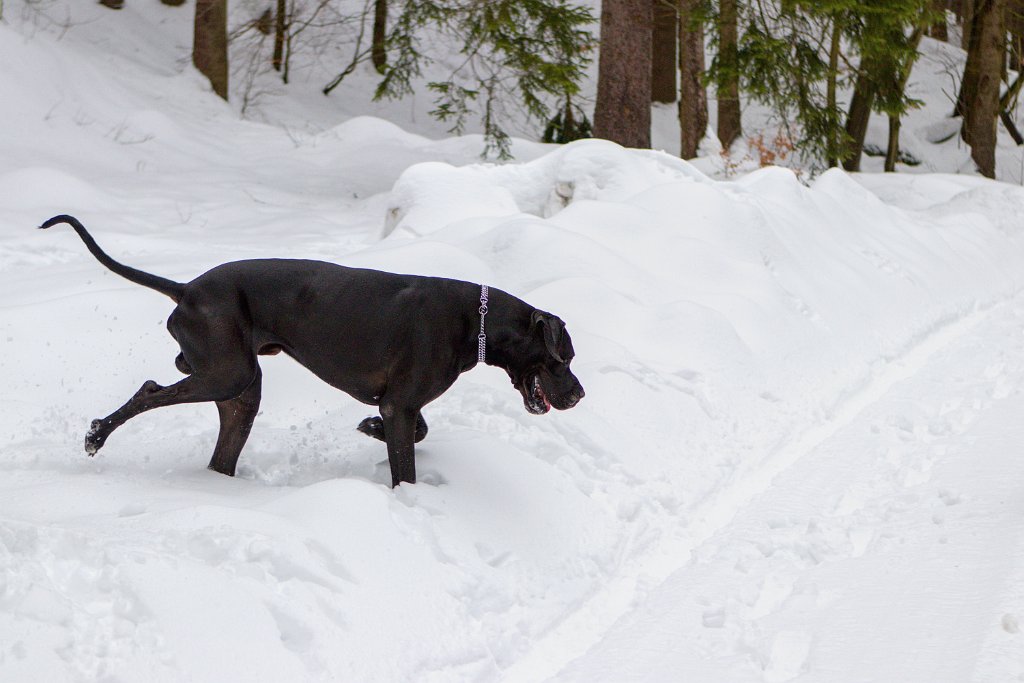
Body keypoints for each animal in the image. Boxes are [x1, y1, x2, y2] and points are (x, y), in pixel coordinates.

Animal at [41, 214, 585, 485]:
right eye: (563, 358)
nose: (579, 395)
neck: (476, 319)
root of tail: (187, 289)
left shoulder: (400, 405)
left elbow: (414, 429)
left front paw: (369, 428)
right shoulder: (400, 402)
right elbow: (406, 466)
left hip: (241, 390)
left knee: (221, 446)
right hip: (226, 371)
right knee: (151, 389)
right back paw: (96, 435)